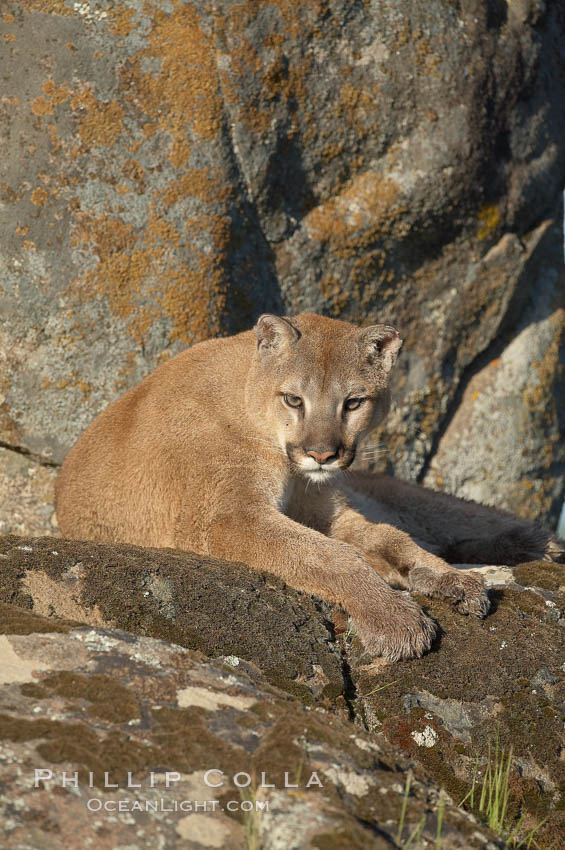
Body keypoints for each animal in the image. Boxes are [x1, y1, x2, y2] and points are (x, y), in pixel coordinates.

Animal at [55, 314, 556, 660]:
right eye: (294, 399)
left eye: (353, 402)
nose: (322, 454)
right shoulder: (227, 517)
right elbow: (332, 556)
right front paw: (392, 617)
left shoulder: (325, 508)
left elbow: (388, 538)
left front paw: (450, 579)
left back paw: (532, 543)